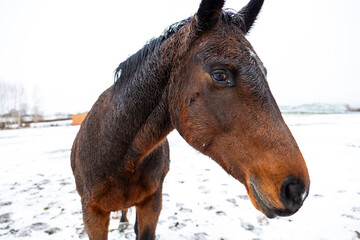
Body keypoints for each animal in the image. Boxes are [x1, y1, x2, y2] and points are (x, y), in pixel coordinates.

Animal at [70, 0, 310, 239]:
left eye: (264, 72)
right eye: (220, 75)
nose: (297, 189)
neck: (117, 153)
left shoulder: (152, 203)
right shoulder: (92, 215)